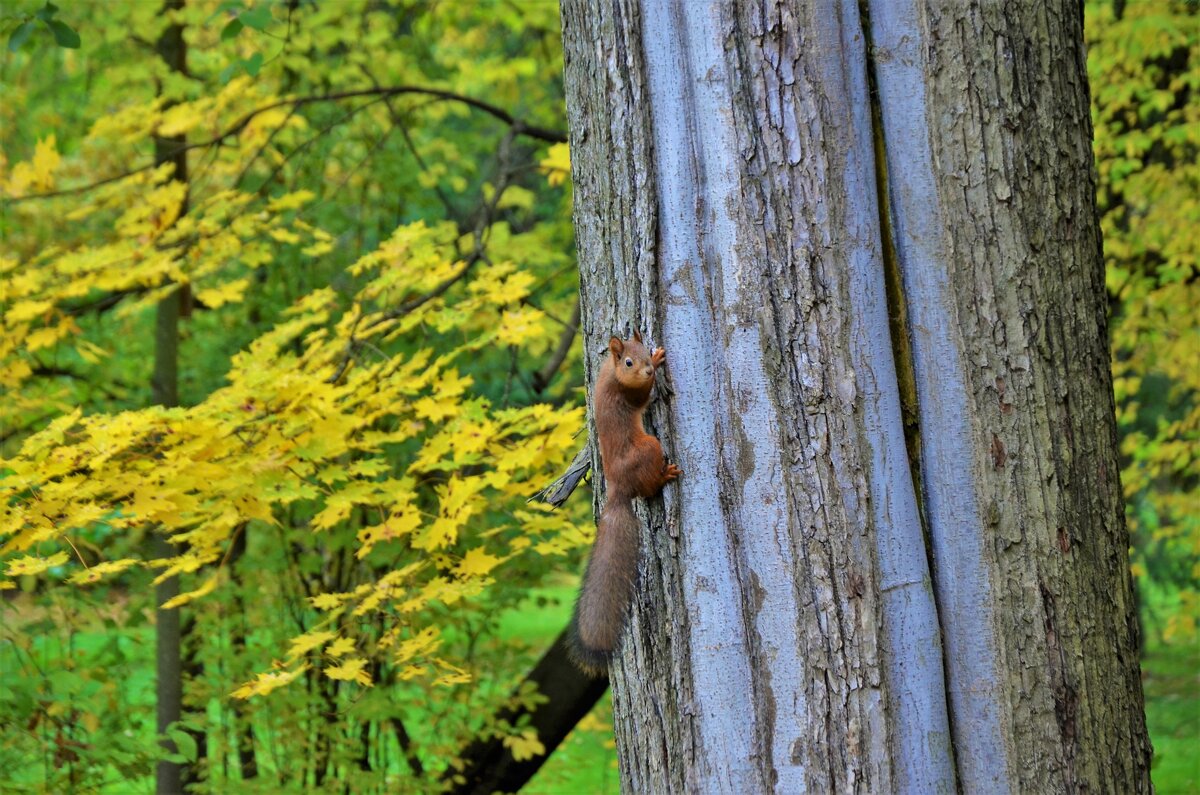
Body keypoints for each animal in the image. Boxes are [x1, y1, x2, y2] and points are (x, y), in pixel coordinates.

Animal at [568, 329, 681, 672]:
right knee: (649, 488)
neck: (613, 374)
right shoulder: (628, 395)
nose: (647, 369)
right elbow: (642, 398)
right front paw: (658, 364)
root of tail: (618, 490)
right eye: (629, 362)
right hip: (649, 447)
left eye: (641, 350)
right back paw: (665, 475)